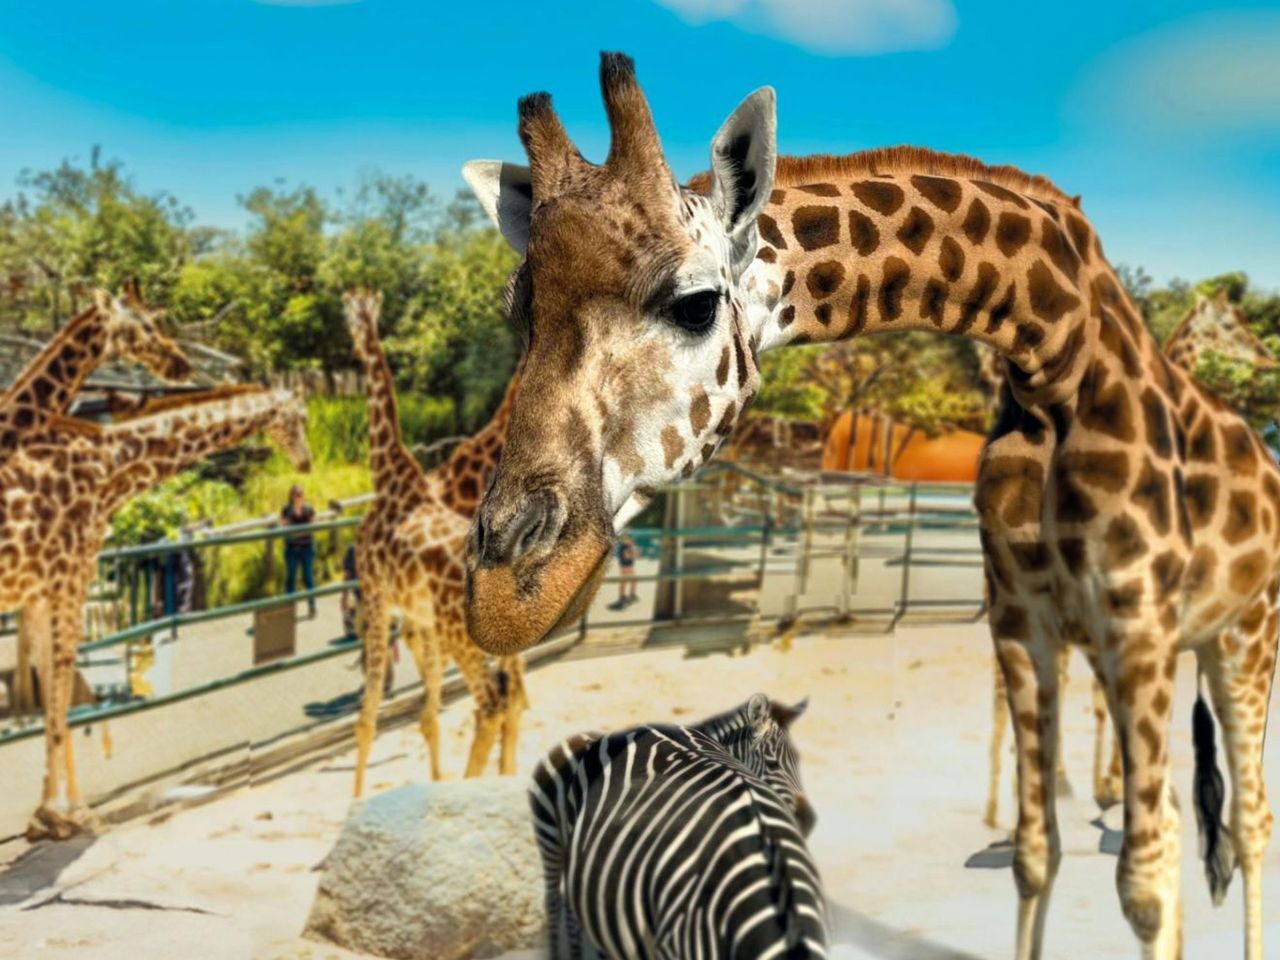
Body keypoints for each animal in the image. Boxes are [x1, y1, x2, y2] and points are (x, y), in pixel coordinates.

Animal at [1, 384, 311, 839]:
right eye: (301, 416)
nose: (307, 462)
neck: (107, 468)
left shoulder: (44, 593)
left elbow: (55, 701)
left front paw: (54, 812)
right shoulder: (70, 581)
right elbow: (60, 697)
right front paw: (67, 812)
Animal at [343, 290, 525, 798]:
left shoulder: (378, 595)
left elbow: (368, 717)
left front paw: (357, 799)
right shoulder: (409, 612)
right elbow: (427, 711)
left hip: (449, 628)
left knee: (496, 700)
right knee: (504, 697)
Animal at [460, 54, 1280, 959]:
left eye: (696, 303)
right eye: (518, 310)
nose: (505, 593)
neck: (1055, 360)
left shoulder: (1137, 624)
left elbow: (1147, 877)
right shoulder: (1023, 619)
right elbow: (1038, 852)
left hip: (1246, 635)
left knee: (1250, 823)